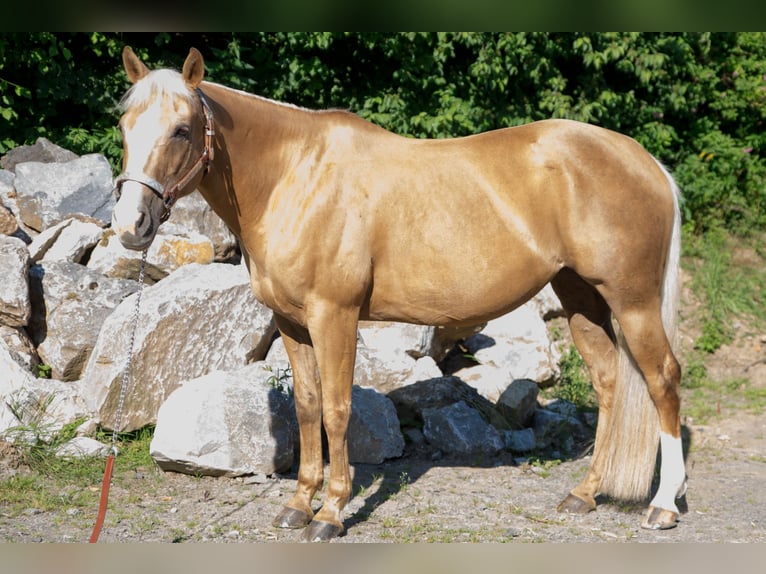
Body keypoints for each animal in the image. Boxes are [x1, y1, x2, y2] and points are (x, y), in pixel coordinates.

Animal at [111, 47, 688, 544]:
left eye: (182, 130)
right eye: (124, 125)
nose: (130, 225)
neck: (295, 177)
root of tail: (647, 163)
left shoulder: (335, 316)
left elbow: (337, 409)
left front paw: (331, 514)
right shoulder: (292, 323)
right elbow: (307, 407)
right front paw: (297, 506)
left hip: (632, 302)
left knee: (662, 380)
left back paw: (662, 507)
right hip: (579, 295)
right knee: (610, 381)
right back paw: (584, 494)